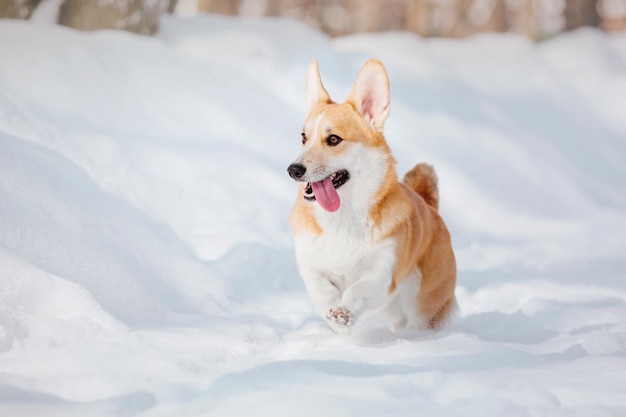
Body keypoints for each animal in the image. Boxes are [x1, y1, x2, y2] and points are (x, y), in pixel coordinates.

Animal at [286, 58, 454, 334]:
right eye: (303, 137)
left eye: (334, 139)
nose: (293, 170)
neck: (342, 217)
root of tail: (431, 208)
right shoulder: (310, 262)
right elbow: (321, 288)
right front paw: (335, 316)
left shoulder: (382, 273)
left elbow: (357, 290)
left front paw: (343, 312)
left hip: (424, 308)